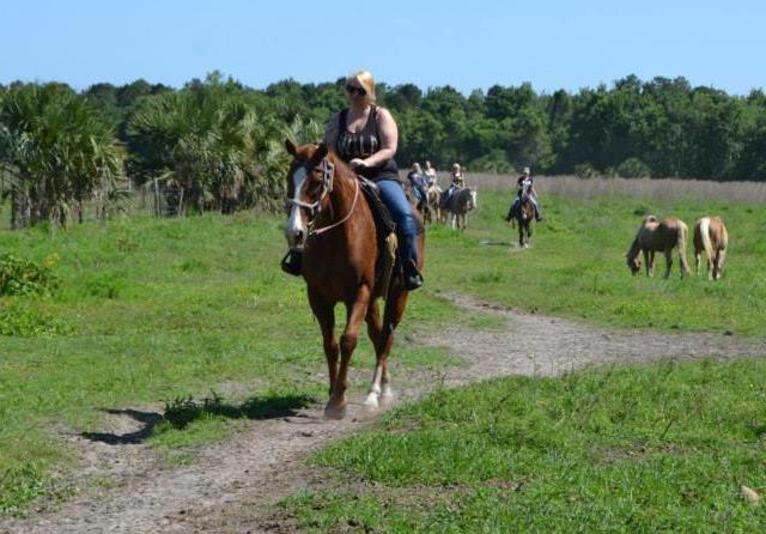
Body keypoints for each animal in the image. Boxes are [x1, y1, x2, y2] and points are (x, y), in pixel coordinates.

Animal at [284, 142, 426, 422]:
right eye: (289, 179)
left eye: (317, 181)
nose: (294, 233)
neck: (335, 236)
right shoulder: (318, 296)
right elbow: (330, 345)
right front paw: (332, 393)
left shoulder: (359, 293)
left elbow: (348, 340)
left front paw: (339, 402)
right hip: (373, 300)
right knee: (377, 335)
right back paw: (383, 388)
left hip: (398, 295)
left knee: (386, 338)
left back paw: (375, 395)